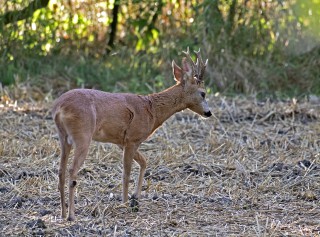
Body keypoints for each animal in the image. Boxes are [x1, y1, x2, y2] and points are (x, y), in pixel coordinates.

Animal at [51, 47, 211, 220]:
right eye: (203, 93)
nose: (209, 113)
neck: (152, 109)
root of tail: (59, 108)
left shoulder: (123, 141)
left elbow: (144, 162)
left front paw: (136, 198)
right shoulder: (133, 139)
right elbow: (126, 173)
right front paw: (125, 203)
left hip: (63, 138)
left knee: (61, 171)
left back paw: (62, 212)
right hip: (83, 135)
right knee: (72, 171)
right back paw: (71, 215)